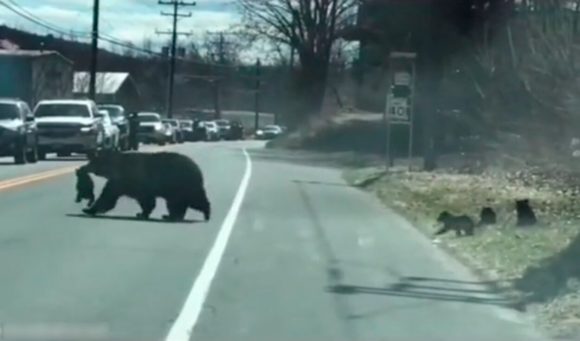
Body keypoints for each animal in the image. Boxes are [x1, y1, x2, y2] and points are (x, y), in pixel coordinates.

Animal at [79, 149, 211, 220]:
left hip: (182, 184)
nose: (82, 167)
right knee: (177, 203)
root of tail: (198, 169)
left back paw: (206, 213)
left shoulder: (131, 181)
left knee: (194, 200)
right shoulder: (121, 183)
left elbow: (108, 197)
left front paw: (88, 209)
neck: (116, 168)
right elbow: (109, 196)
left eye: (91, 162)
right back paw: (171, 216)